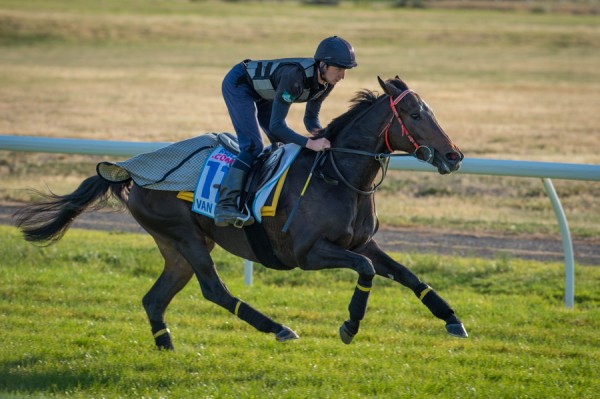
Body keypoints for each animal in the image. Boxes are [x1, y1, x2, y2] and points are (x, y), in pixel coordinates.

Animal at [12, 76, 464, 350]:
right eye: (415, 114)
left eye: (432, 111)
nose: (454, 156)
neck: (337, 175)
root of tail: (131, 171)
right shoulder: (308, 253)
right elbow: (366, 271)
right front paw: (350, 326)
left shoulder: (363, 242)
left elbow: (406, 274)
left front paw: (452, 319)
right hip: (187, 237)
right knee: (214, 290)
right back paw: (278, 327)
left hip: (176, 247)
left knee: (154, 299)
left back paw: (166, 345)